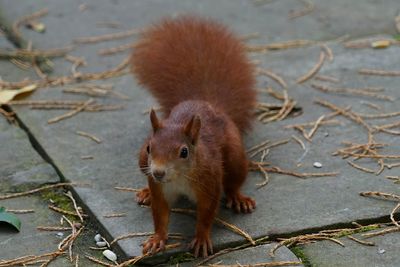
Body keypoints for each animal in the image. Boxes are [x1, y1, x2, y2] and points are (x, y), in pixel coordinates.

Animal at [130, 15, 256, 258]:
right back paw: (145, 192)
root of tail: (206, 102)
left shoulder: (209, 184)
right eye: (150, 147)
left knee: (234, 180)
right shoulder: (160, 189)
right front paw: (157, 239)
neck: (178, 179)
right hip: (141, 162)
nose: (158, 172)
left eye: (184, 152)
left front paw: (201, 239)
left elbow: (206, 214)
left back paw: (238, 198)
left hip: (235, 156)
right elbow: (160, 215)